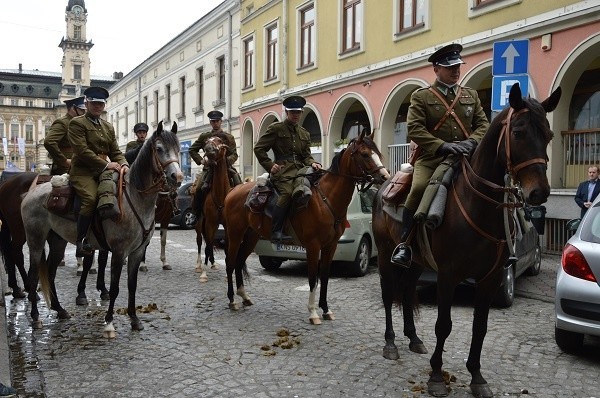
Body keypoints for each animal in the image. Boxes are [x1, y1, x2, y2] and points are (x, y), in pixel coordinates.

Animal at [22, 119, 182, 338]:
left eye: (178, 148)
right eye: (159, 149)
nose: (178, 176)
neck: (134, 198)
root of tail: (32, 191)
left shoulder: (137, 251)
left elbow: (132, 285)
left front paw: (134, 319)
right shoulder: (119, 252)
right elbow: (114, 288)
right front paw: (109, 322)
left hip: (57, 242)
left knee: (51, 273)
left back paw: (60, 310)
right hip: (36, 242)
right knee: (33, 275)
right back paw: (36, 317)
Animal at [193, 137, 231, 282]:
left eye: (219, 140)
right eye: (206, 141)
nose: (208, 148)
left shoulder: (226, 225)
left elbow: (226, 248)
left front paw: (228, 273)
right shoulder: (210, 223)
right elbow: (208, 244)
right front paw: (204, 273)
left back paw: (213, 263)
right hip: (200, 223)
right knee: (200, 241)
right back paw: (199, 265)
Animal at [220, 131, 390, 324]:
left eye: (377, 153)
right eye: (365, 154)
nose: (385, 177)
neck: (326, 200)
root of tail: (232, 191)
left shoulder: (330, 245)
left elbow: (324, 276)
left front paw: (326, 309)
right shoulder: (313, 246)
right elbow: (312, 278)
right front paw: (313, 312)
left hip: (251, 236)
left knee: (239, 261)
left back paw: (244, 296)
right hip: (235, 234)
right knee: (230, 263)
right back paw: (232, 300)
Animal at [372, 82, 560, 396]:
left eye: (549, 134)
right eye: (518, 132)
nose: (539, 192)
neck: (478, 205)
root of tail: (383, 185)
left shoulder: (490, 278)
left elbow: (480, 327)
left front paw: (477, 377)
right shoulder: (448, 275)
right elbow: (443, 325)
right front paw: (437, 376)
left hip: (416, 262)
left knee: (408, 292)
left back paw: (413, 339)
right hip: (387, 256)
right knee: (389, 295)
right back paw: (390, 343)